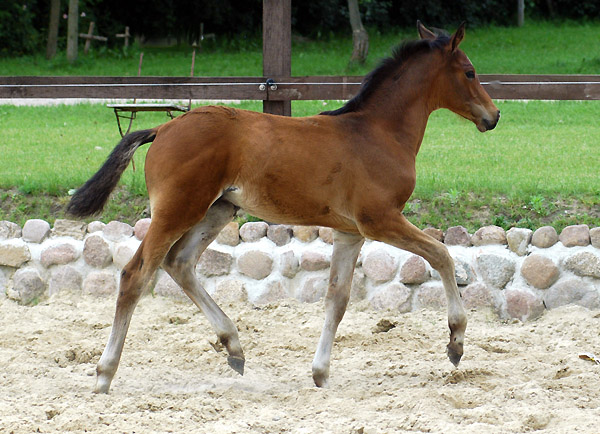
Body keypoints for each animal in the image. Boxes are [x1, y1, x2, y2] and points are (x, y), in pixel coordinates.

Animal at [69, 21, 502, 394]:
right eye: (469, 72)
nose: (494, 116)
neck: (377, 132)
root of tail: (163, 128)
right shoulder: (380, 220)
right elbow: (442, 255)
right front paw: (456, 341)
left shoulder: (349, 231)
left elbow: (337, 299)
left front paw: (321, 373)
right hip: (178, 211)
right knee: (135, 274)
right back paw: (105, 374)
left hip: (217, 210)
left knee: (180, 263)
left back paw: (234, 347)